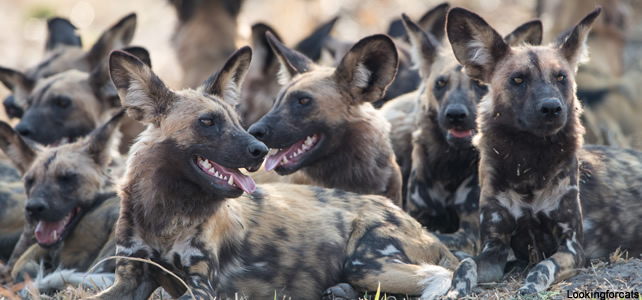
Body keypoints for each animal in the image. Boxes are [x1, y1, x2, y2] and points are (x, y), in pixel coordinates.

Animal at [402, 12, 544, 258]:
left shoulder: (470, 232)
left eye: (479, 85)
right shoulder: (419, 213)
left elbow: (434, 237)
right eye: (440, 83)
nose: (456, 115)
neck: (449, 165)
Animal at [444, 6, 600, 296]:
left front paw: (530, 287)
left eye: (561, 78)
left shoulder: (572, 247)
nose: (551, 108)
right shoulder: (495, 247)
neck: (529, 160)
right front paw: (455, 290)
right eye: (518, 79)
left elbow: (543, 266)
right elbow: (466, 263)